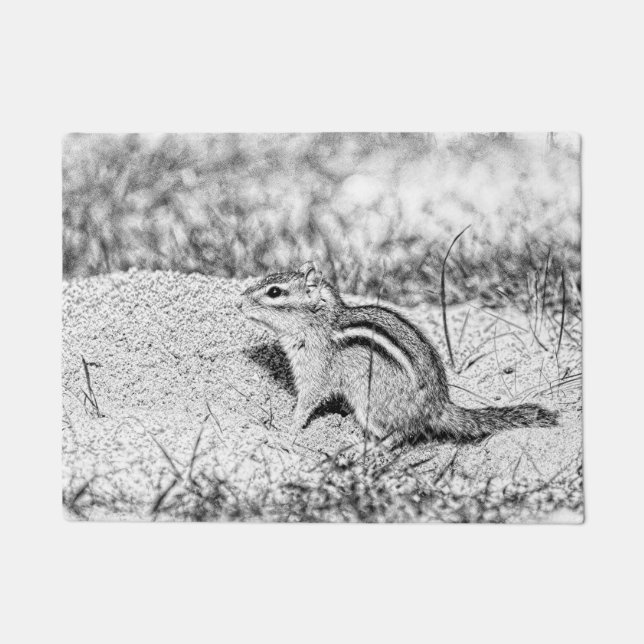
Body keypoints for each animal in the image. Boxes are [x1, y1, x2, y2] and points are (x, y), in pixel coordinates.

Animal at [238, 262, 558, 446]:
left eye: (274, 292)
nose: (238, 303)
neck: (321, 323)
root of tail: (438, 406)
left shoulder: (315, 371)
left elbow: (307, 402)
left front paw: (288, 428)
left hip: (370, 404)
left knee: (400, 435)